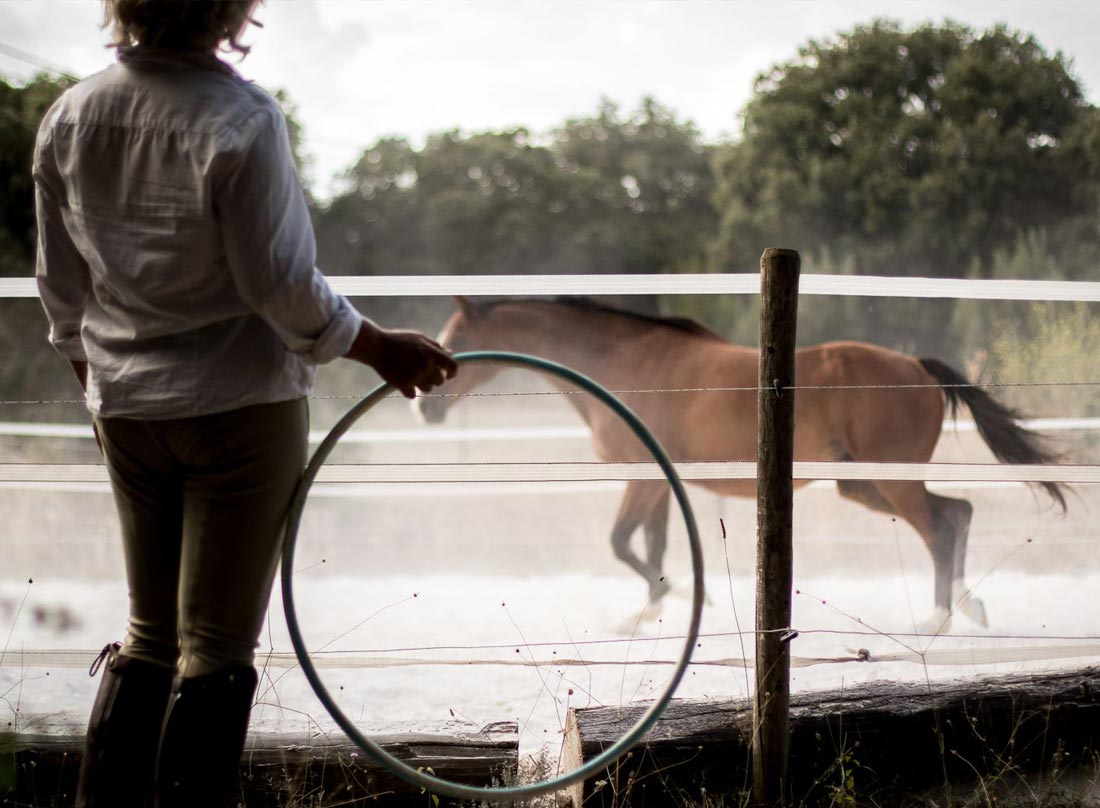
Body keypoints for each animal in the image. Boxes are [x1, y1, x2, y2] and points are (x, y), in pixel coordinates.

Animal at [413, 294, 1064, 628]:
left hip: (889, 481)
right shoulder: (658, 483)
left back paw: (936, 619)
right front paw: (655, 611)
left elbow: (622, 543)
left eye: (454, 339)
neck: (622, 364)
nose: (425, 408)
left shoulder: (641, 477)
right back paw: (969, 606)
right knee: (959, 513)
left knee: (941, 528)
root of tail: (918, 368)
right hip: (861, 483)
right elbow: (652, 546)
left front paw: (680, 601)